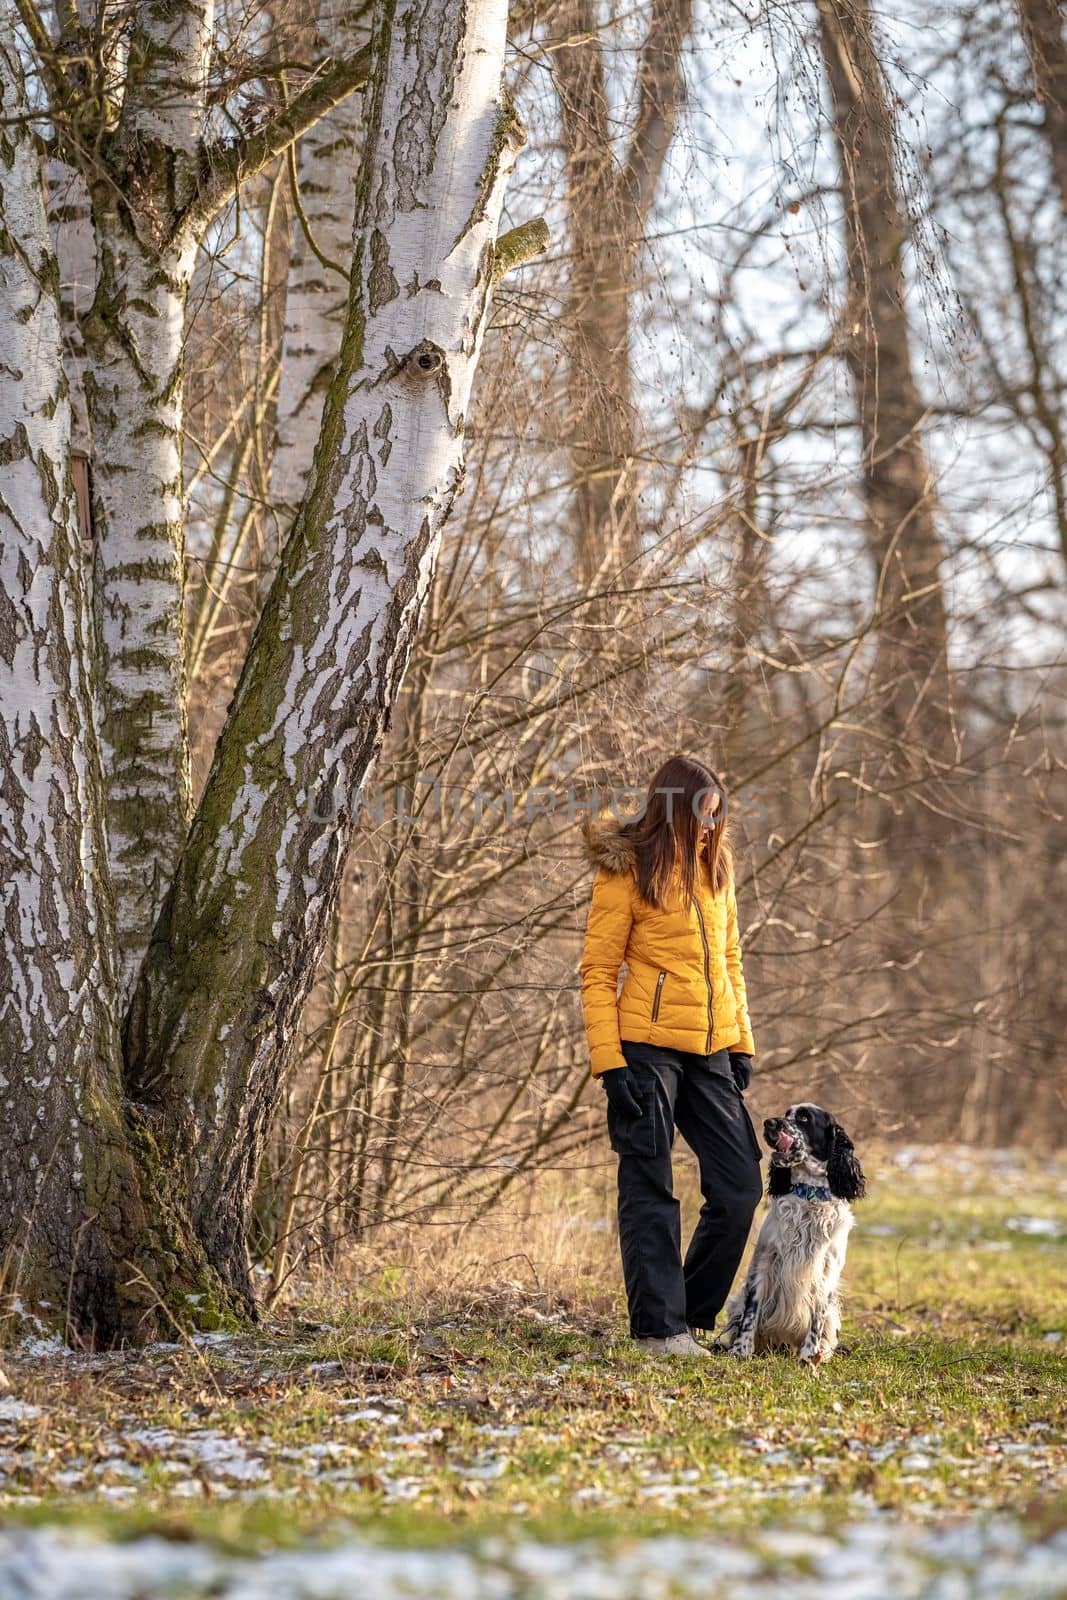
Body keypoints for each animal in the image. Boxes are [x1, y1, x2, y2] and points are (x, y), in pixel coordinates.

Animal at [713, 1113, 863, 1363]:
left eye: (804, 1118)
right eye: (786, 1114)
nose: (769, 1123)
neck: (809, 1195)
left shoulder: (826, 1270)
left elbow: (816, 1319)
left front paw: (809, 1356)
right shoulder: (765, 1261)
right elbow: (751, 1314)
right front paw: (741, 1350)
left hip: (833, 1314)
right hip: (736, 1302)